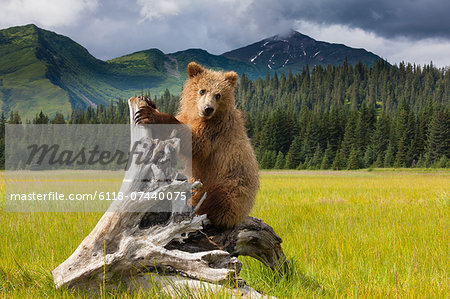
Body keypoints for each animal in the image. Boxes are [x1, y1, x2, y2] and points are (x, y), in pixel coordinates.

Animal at [135, 62, 258, 229]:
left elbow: (195, 142)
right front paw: (147, 100)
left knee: (218, 200)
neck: (199, 117)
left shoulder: (214, 131)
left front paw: (150, 114)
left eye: (218, 94)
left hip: (230, 184)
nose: (208, 108)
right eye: (202, 90)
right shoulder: (189, 117)